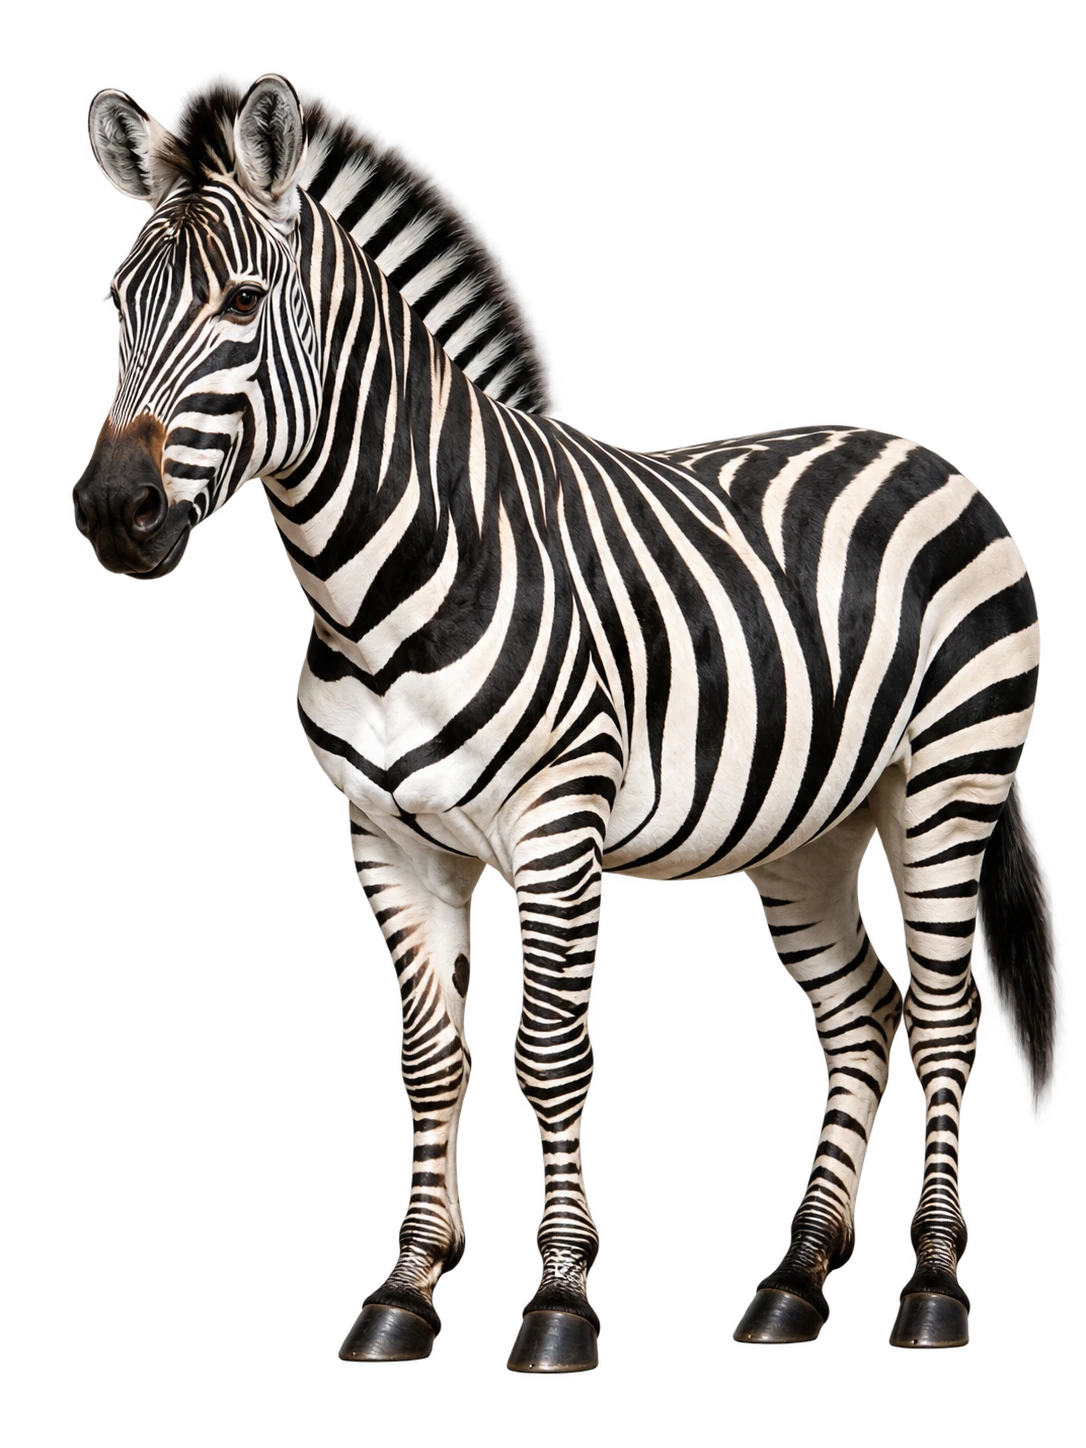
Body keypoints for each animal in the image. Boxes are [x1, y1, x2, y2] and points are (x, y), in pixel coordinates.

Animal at [74, 74, 1064, 1365]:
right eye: (114, 306)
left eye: (242, 301)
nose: (113, 511)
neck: (386, 579)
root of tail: (926, 455)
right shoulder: (385, 841)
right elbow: (431, 1061)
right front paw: (406, 1289)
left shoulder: (556, 826)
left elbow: (549, 1056)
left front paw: (556, 1302)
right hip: (808, 828)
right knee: (863, 1017)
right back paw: (795, 1279)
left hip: (949, 778)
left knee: (946, 1018)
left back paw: (936, 1289)